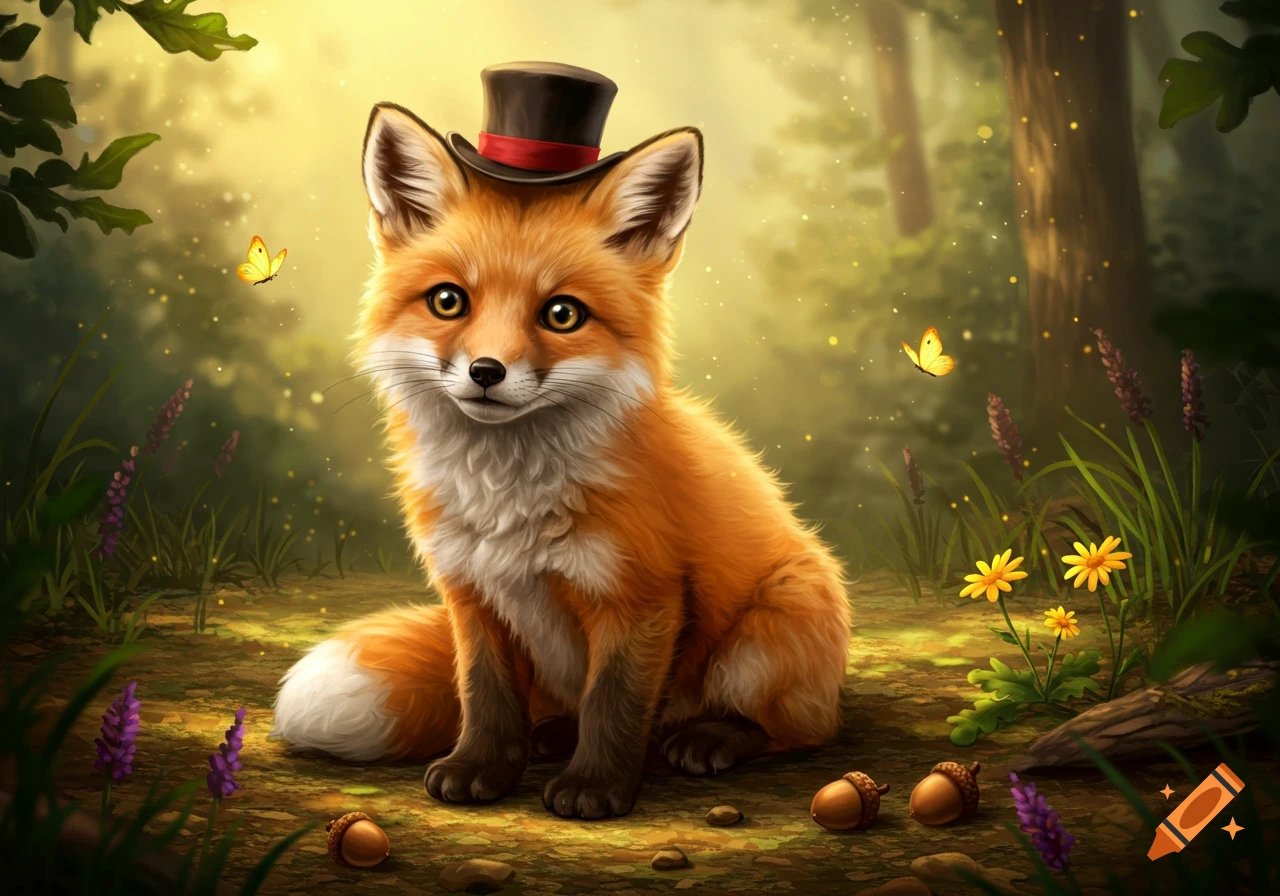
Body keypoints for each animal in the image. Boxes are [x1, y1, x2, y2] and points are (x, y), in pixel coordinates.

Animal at [271, 99, 852, 820]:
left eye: (562, 314)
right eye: (447, 301)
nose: (486, 372)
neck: (507, 497)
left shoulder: (641, 597)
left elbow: (615, 703)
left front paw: (596, 787)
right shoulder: (471, 593)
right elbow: (485, 696)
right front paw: (482, 768)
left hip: (763, 639)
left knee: (798, 729)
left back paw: (710, 738)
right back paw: (551, 735)